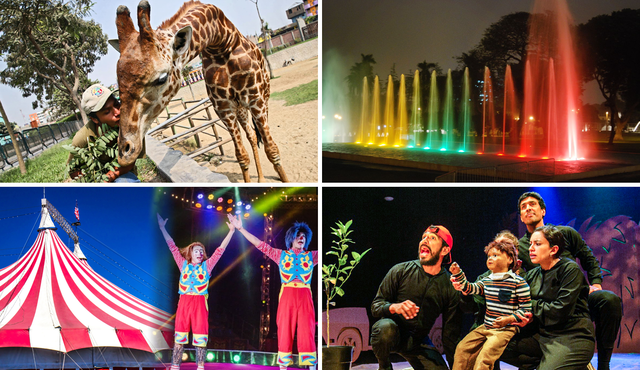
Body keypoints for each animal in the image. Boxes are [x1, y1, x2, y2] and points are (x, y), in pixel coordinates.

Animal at [112, 0, 288, 182]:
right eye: (119, 85)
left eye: (161, 78)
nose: (125, 152)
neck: (221, 42)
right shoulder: (223, 107)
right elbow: (241, 156)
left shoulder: (256, 100)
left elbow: (272, 150)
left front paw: (285, 180)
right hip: (240, 107)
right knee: (252, 135)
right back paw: (260, 179)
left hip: (262, 100)